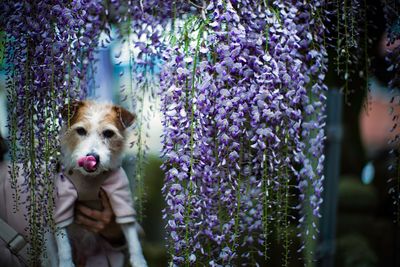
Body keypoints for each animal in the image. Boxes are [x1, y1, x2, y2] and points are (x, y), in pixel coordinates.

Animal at [48, 100, 148, 267]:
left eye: (108, 133)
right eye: (81, 131)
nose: (92, 157)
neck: (90, 179)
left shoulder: (120, 197)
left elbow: (131, 233)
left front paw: (139, 261)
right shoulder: (62, 200)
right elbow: (63, 244)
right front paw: (66, 263)